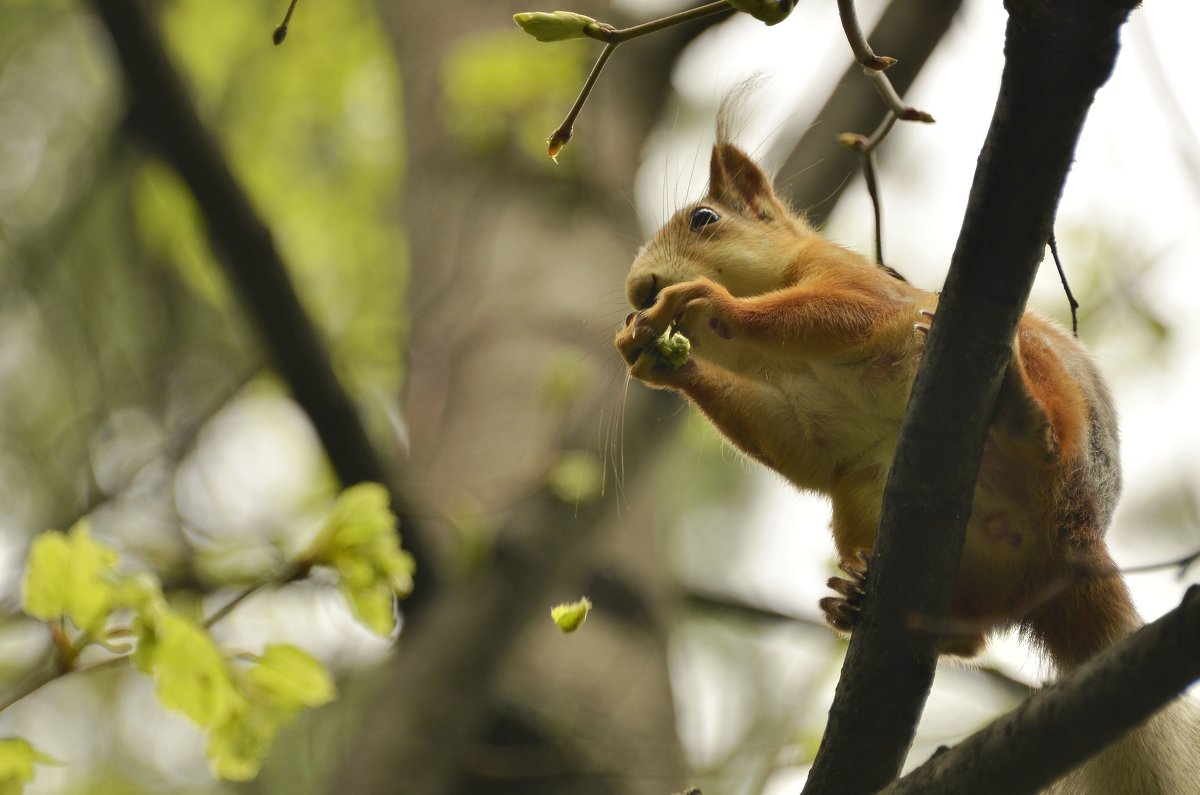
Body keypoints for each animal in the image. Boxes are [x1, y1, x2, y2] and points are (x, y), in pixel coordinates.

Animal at [619, 130, 1200, 792]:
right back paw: (859, 603)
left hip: (1042, 380)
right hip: (867, 505)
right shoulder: (807, 416)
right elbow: (799, 446)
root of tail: (1073, 539)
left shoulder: (858, 287)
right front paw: (656, 358)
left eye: (704, 219)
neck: (781, 359)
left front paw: (703, 303)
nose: (638, 292)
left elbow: (846, 314)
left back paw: (1023, 413)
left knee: (1049, 433)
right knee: (973, 639)